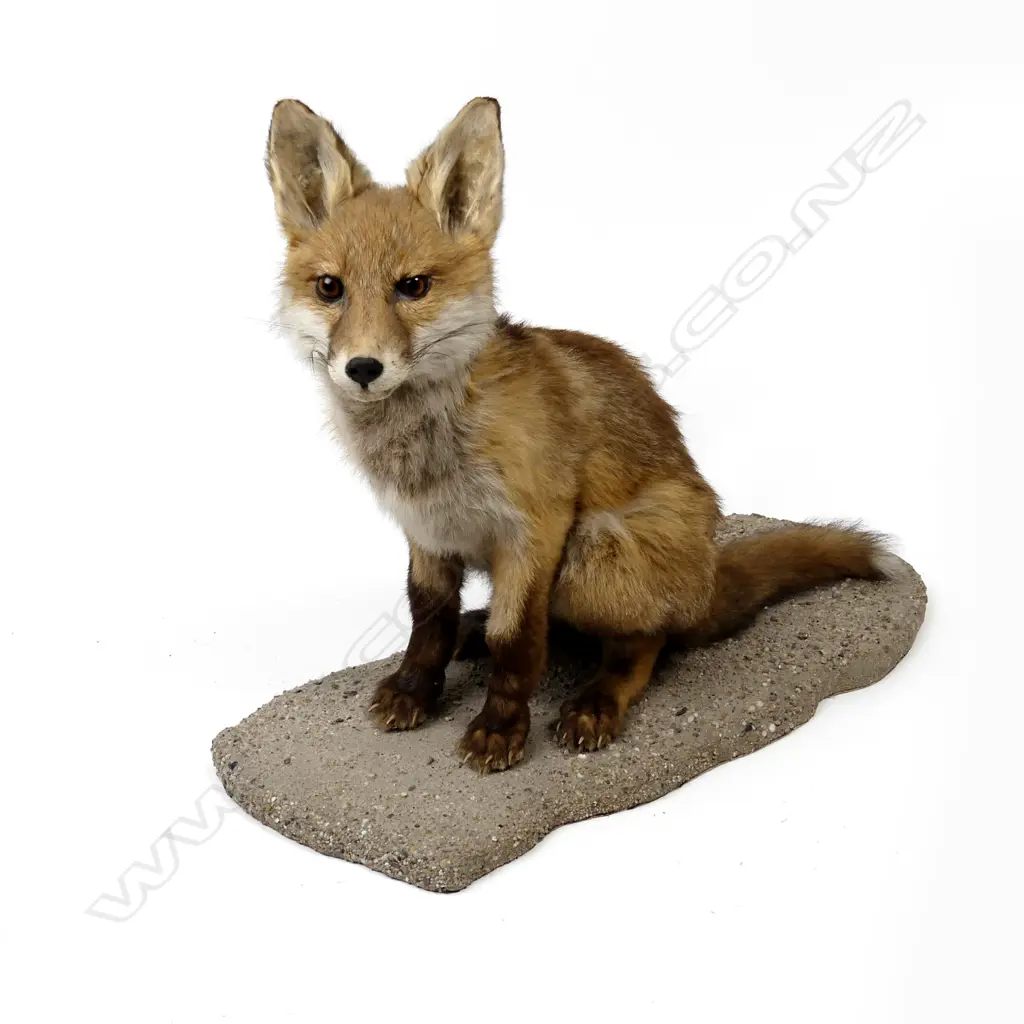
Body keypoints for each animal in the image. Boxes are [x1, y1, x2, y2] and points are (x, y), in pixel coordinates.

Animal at [265, 96, 897, 773]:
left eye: (413, 286)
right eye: (330, 288)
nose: (362, 368)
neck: (432, 450)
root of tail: (705, 581)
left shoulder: (536, 529)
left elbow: (518, 641)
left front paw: (501, 729)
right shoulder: (426, 530)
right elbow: (427, 621)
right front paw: (416, 691)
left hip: (595, 554)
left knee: (643, 642)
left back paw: (598, 701)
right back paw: (475, 630)